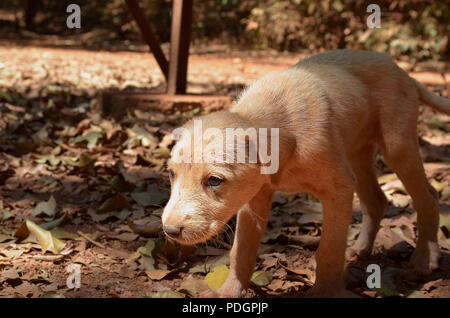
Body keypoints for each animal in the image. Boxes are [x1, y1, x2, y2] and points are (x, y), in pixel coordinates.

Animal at [162, 48, 450, 296]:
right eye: (172, 175)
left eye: (214, 180)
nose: (169, 231)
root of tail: (401, 71)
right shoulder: (254, 197)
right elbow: (241, 251)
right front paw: (228, 292)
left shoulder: (338, 188)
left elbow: (329, 250)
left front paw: (324, 292)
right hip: (357, 155)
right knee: (376, 200)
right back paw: (359, 249)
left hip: (397, 146)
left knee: (428, 197)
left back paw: (425, 257)